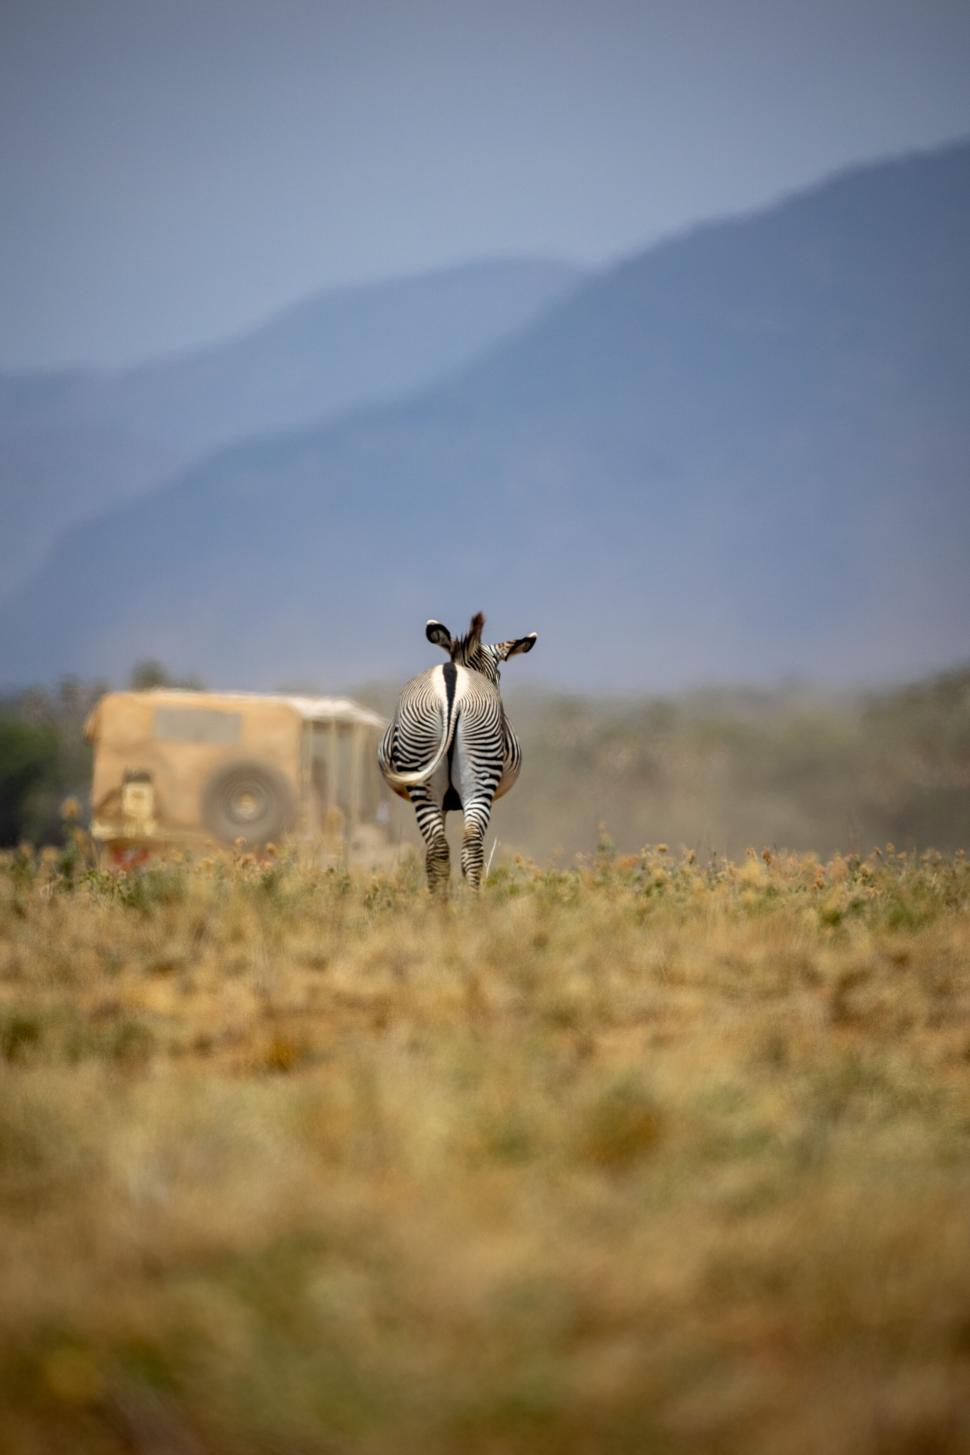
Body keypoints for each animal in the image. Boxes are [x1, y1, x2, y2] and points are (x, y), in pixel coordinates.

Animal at [378, 613, 538, 892]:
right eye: (499, 675)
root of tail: (452, 684)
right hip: (475, 773)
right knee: (467, 847)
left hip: (428, 772)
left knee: (442, 849)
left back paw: (444, 904)